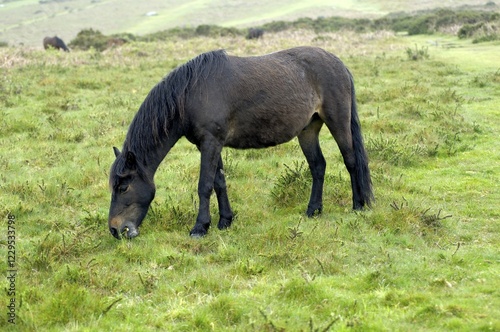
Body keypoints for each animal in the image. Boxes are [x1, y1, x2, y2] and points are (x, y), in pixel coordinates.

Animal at [110, 46, 376, 239]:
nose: (115, 229)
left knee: (351, 161)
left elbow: (204, 185)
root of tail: (339, 63)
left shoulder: (210, 142)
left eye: (123, 187)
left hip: (337, 120)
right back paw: (313, 210)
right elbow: (219, 182)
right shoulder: (210, 144)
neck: (191, 93)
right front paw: (225, 221)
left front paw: (200, 227)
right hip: (309, 129)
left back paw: (358, 206)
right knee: (318, 166)